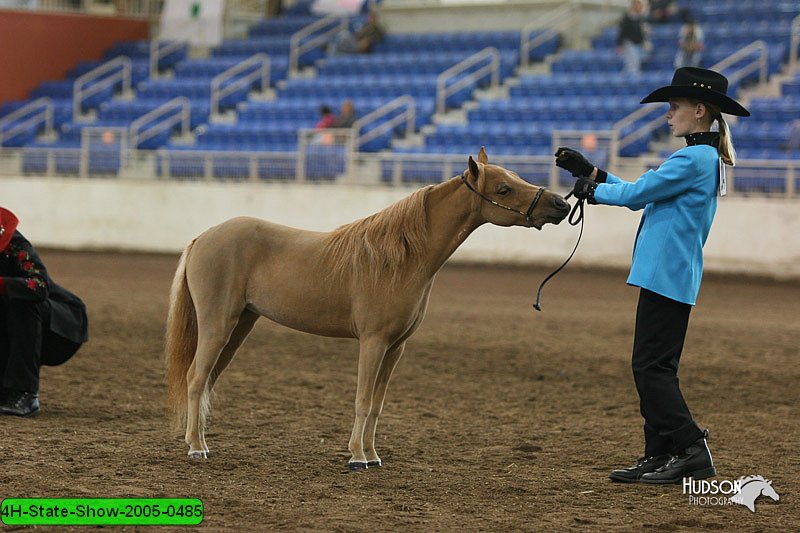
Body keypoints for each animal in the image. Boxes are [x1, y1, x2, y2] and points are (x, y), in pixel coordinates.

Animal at [167, 147, 568, 470]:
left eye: (516, 177)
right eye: (503, 189)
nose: (560, 205)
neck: (402, 258)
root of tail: (203, 237)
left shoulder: (395, 347)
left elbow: (377, 404)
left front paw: (373, 456)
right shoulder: (373, 342)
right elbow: (362, 400)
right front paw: (357, 457)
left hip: (240, 326)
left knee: (206, 381)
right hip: (219, 325)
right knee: (196, 378)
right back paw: (197, 449)